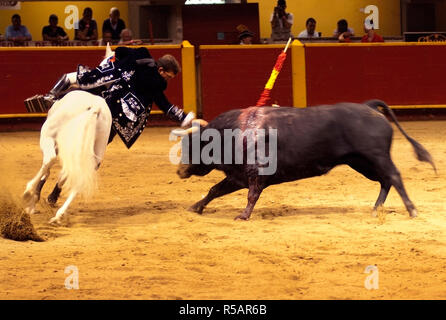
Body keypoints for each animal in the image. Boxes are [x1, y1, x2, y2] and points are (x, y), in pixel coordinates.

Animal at [23, 90, 112, 224]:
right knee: (80, 179)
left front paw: (32, 201)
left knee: (50, 159)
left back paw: (28, 192)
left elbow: (47, 170)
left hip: (48, 136)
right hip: (97, 153)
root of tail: (95, 106)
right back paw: (59, 215)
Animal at [174, 100, 436, 220]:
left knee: (394, 177)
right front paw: (196, 207)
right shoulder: (238, 177)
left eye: (192, 147)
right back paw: (376, 209)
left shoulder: (255, 175)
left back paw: (411, 210)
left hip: (376, 157)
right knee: (385, 181)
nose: (179, 172)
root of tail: (369, 106)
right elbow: (215, 190)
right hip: (362, 163)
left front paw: (243, 216)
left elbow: (251, 196)